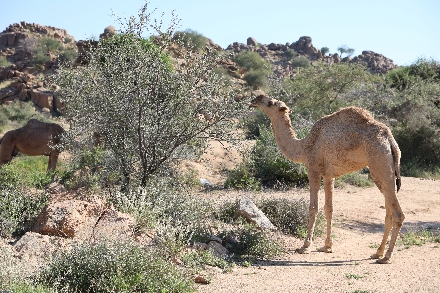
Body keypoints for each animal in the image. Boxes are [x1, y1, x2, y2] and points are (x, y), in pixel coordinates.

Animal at [251, 94, 406, 264]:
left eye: (271, 103)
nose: (255, 99)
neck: (304, 146)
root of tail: (390, 141)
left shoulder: (313, 168)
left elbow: (313, 207)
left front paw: (305, 246)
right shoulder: (328, 175)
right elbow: (329, 208)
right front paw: (327, 246)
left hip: (380, 165)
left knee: (398, 214)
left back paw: (386, 256)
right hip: (384, 172)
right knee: (388, 211)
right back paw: (377, 253)